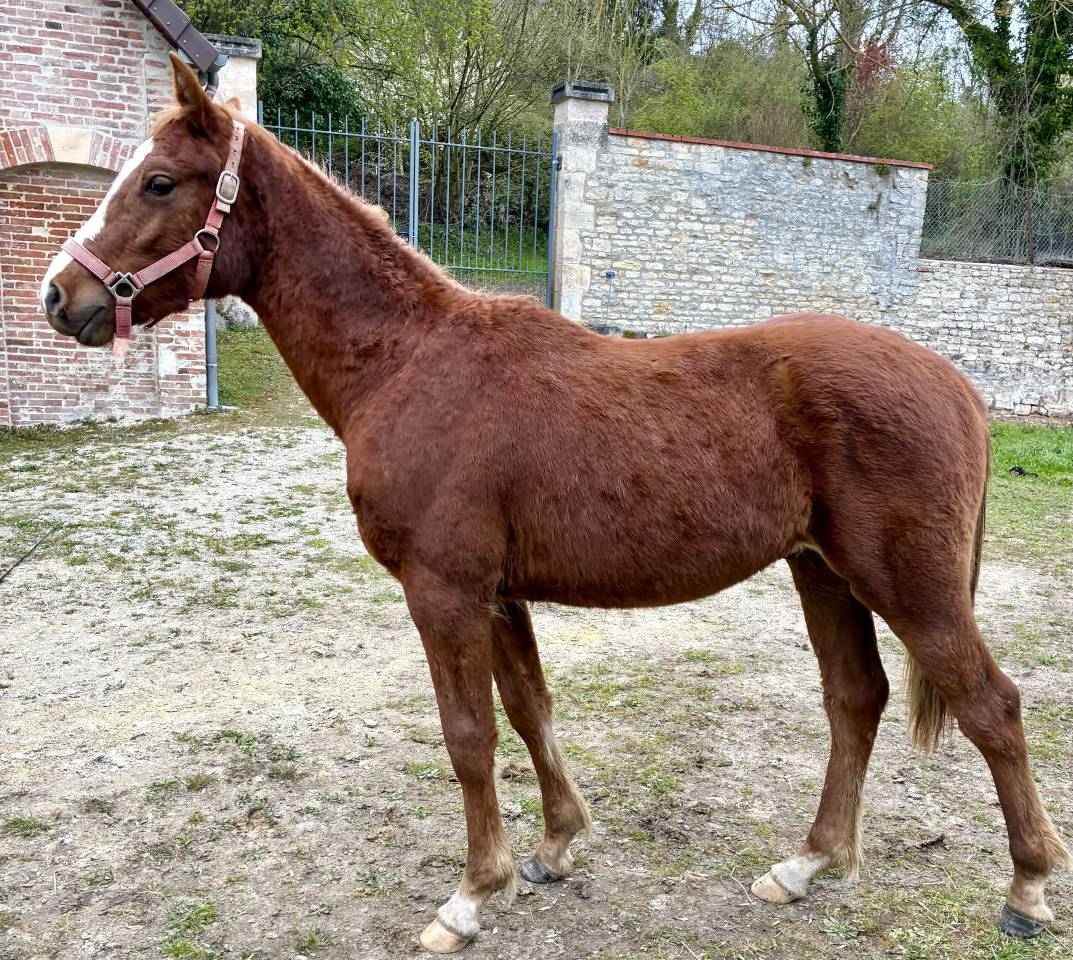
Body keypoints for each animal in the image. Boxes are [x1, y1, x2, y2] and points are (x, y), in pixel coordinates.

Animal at [40, 54, 1067, 953]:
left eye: (160, 182)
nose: (61, 295)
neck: (409, 362)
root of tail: (954, 381)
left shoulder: (444, 591)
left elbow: (468, 736)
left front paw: (467, 898)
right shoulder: (498, 593)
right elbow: (530, 709)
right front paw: (554, 845)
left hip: (910, 585)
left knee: (992, 706)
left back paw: (1024, 889)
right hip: (824, 574)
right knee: (855, 700)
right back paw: (806, 865)